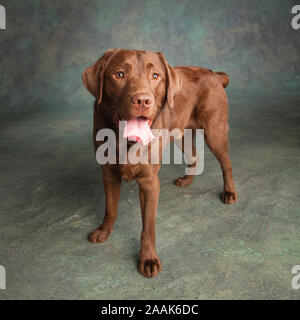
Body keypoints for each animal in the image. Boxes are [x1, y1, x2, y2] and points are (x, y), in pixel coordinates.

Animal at [81, 49, 237, 278]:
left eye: (155, 76)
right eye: (119, 74)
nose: (142, 100)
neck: (126, 141)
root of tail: (215, 74)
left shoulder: (149, 182)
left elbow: (148, 225)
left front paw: (148, 259)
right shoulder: (108, 173)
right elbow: (110, 207)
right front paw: (104, 231)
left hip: (214, 131)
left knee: (226, 163)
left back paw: (229, 192)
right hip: (181, 133)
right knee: (194, 155)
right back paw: (187, 180)